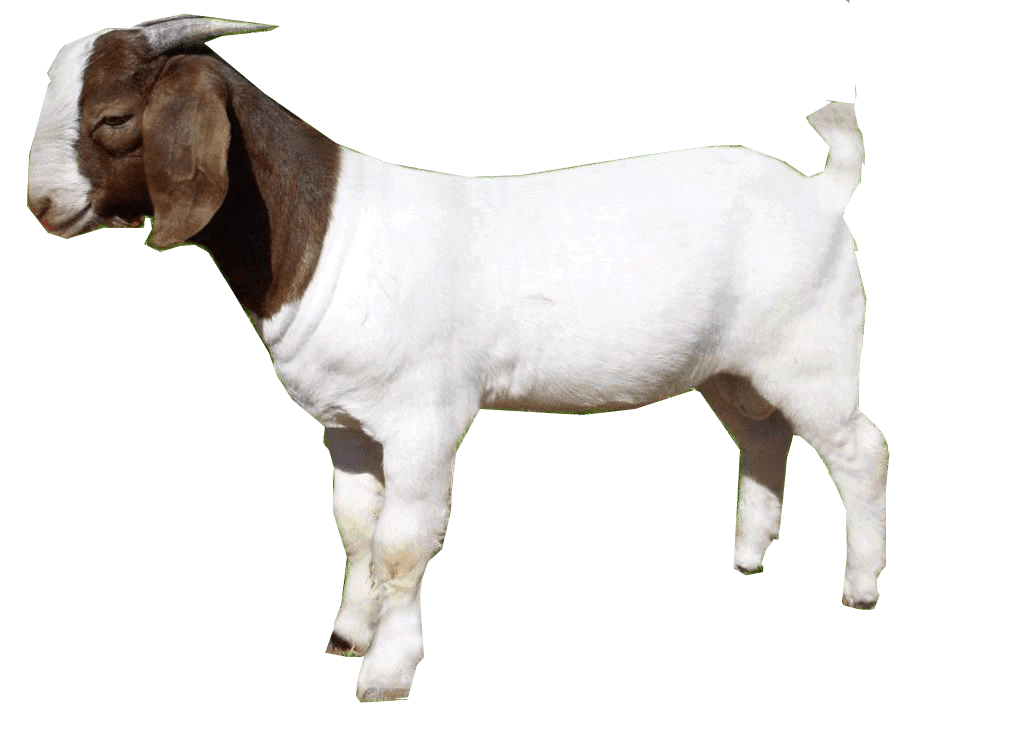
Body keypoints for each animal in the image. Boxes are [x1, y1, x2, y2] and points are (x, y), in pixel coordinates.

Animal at [29, 16, 886, 702]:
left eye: (113, 117)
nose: (40, 205)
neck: (326, 232)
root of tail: (822, 191)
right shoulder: (347, 426)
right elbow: (354, 529)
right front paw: (348, 634)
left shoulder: (424, 419)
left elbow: (404, 543)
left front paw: (387, 671)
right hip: (733, 368)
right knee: (763, 436)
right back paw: (748, 558)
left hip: (812, 351)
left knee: (859, 450)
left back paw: (861, 587)